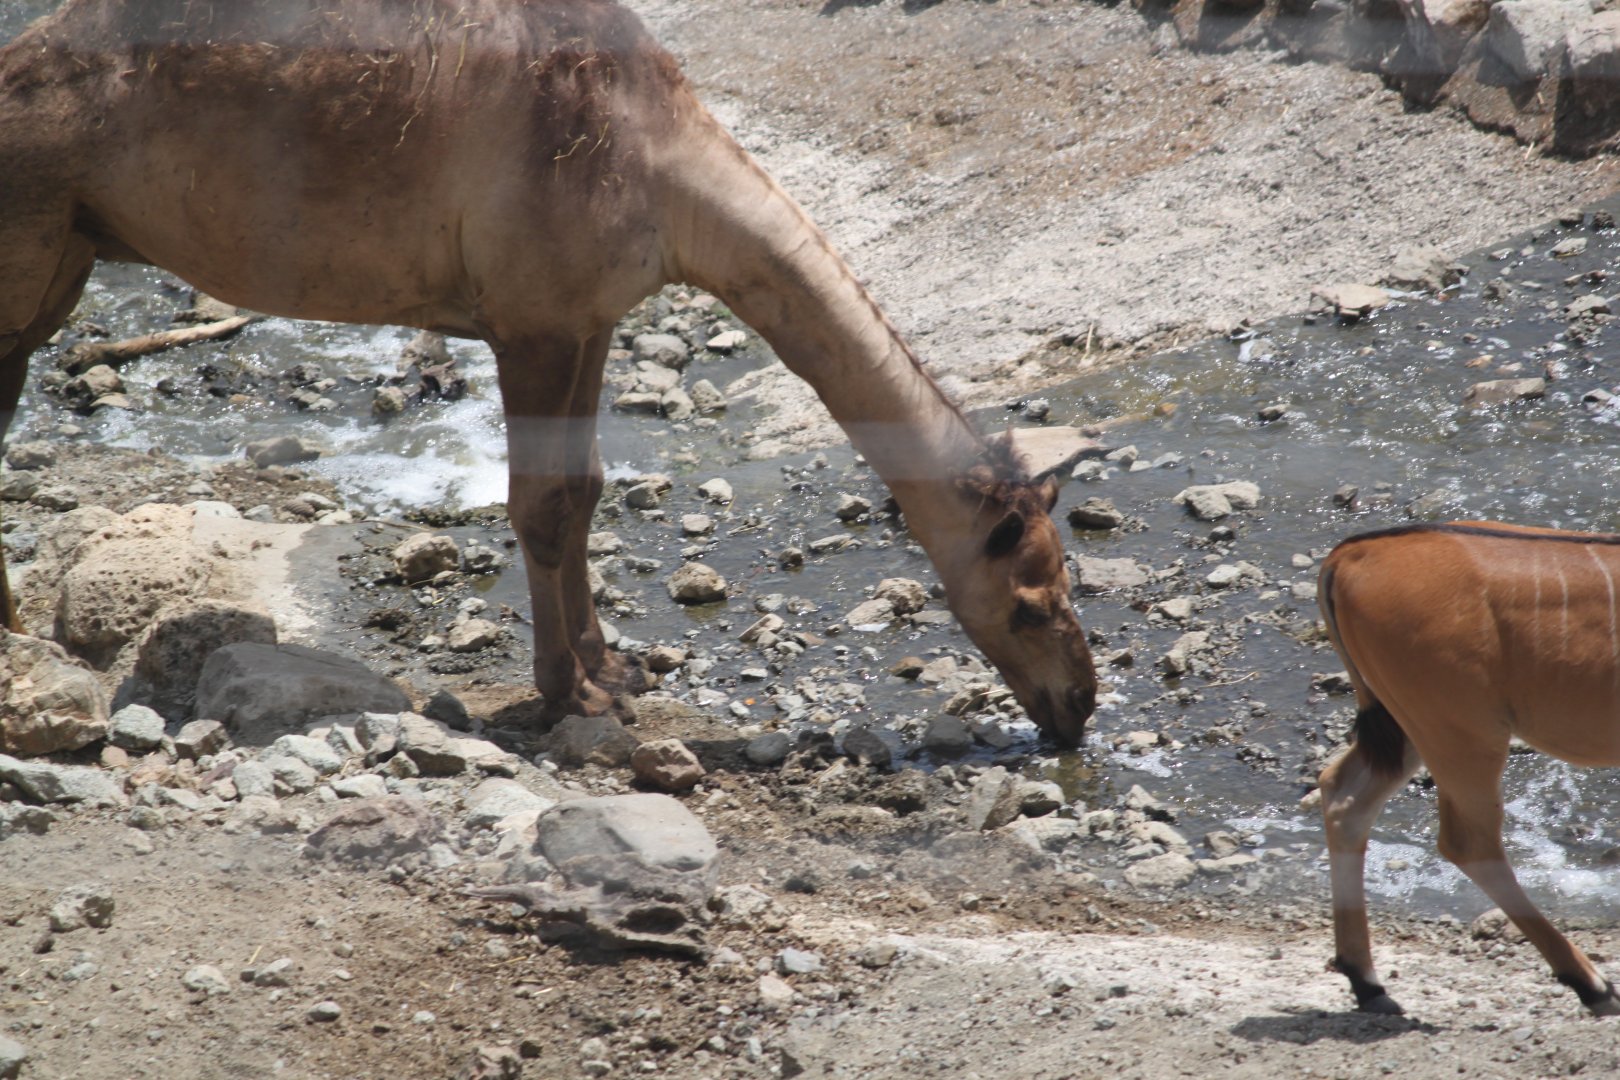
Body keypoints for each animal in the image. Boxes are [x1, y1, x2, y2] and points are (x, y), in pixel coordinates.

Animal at [0, 0, 1099, 743]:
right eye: (1032, 601)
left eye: (1063, 583)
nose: (1079, 704)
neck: (666, 176)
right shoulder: (528, 322)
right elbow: (536, 504)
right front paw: (570, 692)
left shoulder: (589, 316)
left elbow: (586, 489)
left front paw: (617, 669)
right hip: (32, 241)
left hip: (66, 249)